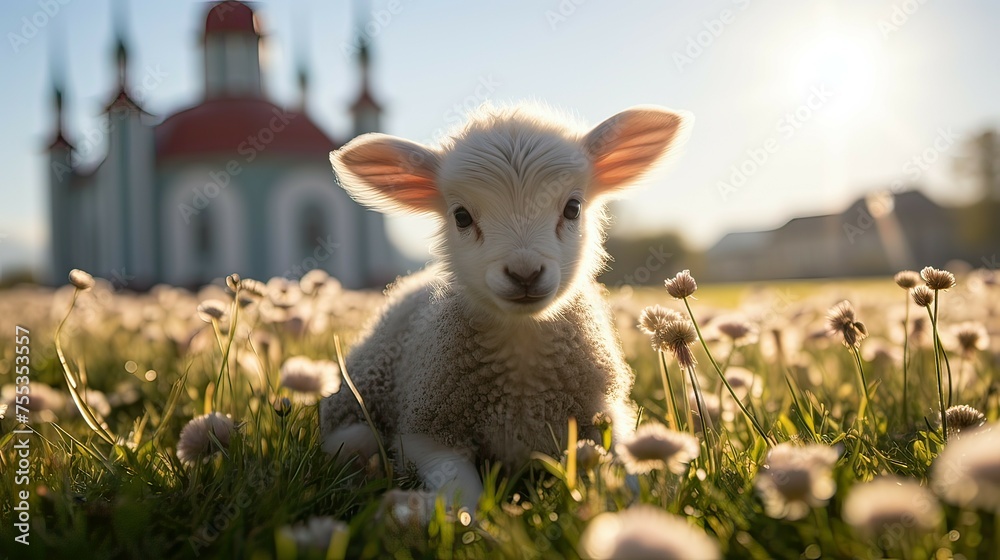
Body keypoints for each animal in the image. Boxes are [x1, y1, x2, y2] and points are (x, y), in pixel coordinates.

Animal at [320, 102, 692, 511]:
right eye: (461, 216)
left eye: (573, 208)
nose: (524, 273)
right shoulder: (427, 429)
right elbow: (463, 498)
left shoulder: (605, 414)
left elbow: (626, 479)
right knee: (352, 440)